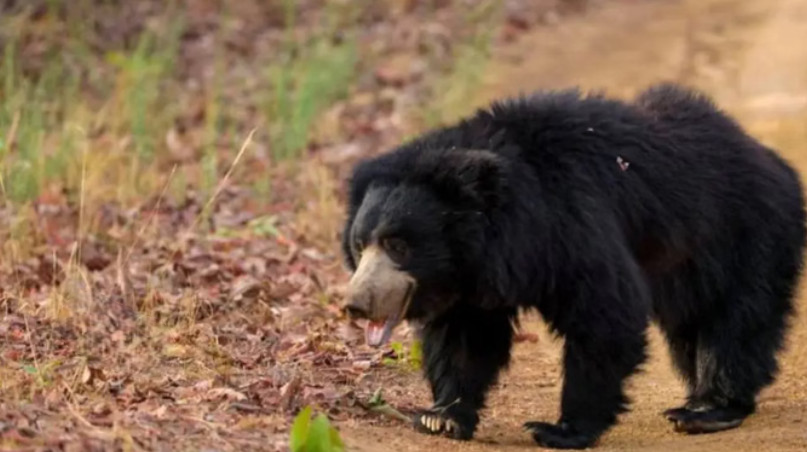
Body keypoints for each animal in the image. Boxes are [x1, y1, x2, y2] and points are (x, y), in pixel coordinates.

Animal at [339, 83, 806, 449]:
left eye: (398, 245)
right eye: (360, 245)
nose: (356, 305)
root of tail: (775, 163)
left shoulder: (572, 222)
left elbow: (604, 311)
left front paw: (560, 430)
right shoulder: (471, 279)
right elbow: (465, 338)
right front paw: (440, 417)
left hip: (746, 237)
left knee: (735, 321)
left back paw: (708, 409)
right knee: (692, 328)